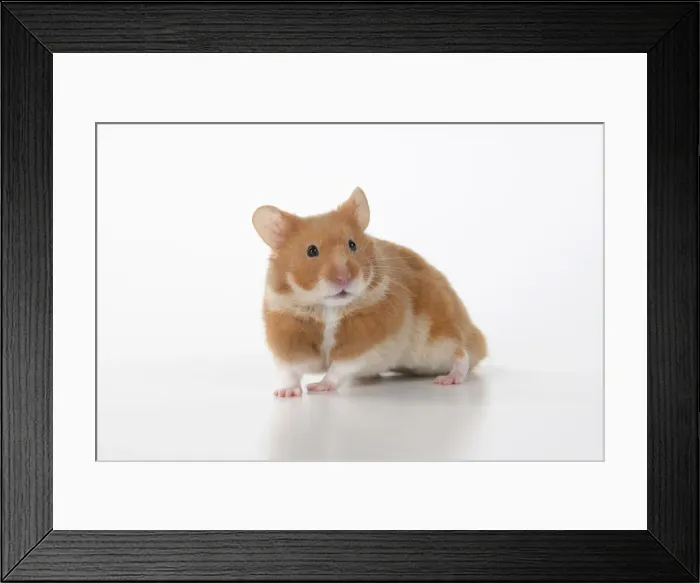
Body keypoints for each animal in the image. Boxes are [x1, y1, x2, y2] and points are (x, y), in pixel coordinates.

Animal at [252, 187, 487, 397]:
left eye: (352, 244)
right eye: (312, 251)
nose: (344, 278)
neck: (329, 307)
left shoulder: (364, 341)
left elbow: (338, 368)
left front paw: (318, 386)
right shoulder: (287, 333)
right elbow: (290, 371)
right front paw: (284, 393)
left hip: (438, 340)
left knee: (461, 355)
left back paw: (448, 379)